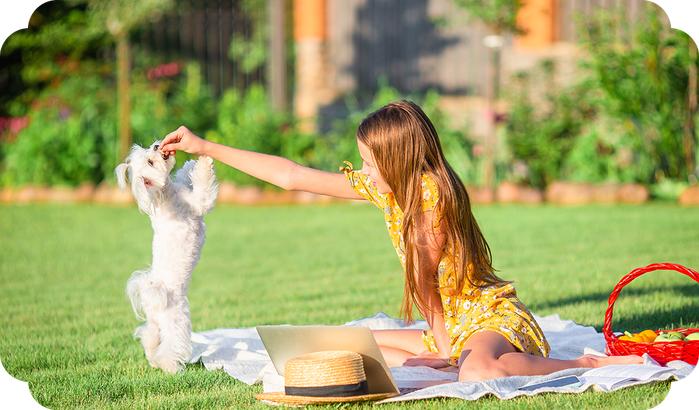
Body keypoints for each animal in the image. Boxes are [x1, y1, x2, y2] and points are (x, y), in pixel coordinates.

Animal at [115, 139, 219, 374]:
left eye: (149, 152)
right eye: (151, 162)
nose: (156, 146)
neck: (165, 195)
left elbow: (182, 176)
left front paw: (189, 163)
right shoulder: (198, 203)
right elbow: (203, 190)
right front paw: (204, 160)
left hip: (155, 326)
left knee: (149, 338)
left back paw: (154, 360)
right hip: (177, 320)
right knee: (171, 345)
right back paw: (170, 366)